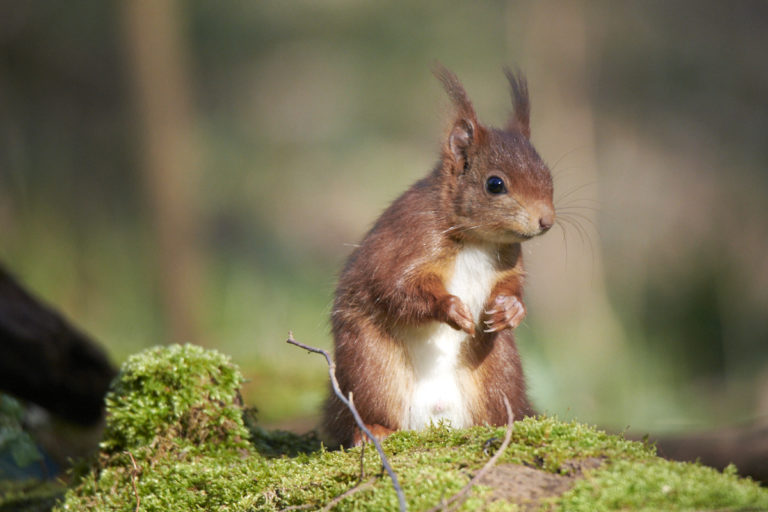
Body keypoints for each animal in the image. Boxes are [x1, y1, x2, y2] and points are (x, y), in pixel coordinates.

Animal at [322, 66, 552, 446]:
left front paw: (511, 310)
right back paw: (373, 430)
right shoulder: (409, 241)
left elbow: (512, 286)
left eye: (549, 175)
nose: (546, 220)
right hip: (371, 366)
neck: (477, 241)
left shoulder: (508, 260)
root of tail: (435, 419)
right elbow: (394, 288)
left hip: (498, 369)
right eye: (495, 184)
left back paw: (501, 425)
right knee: (367, 411)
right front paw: (451, 308)